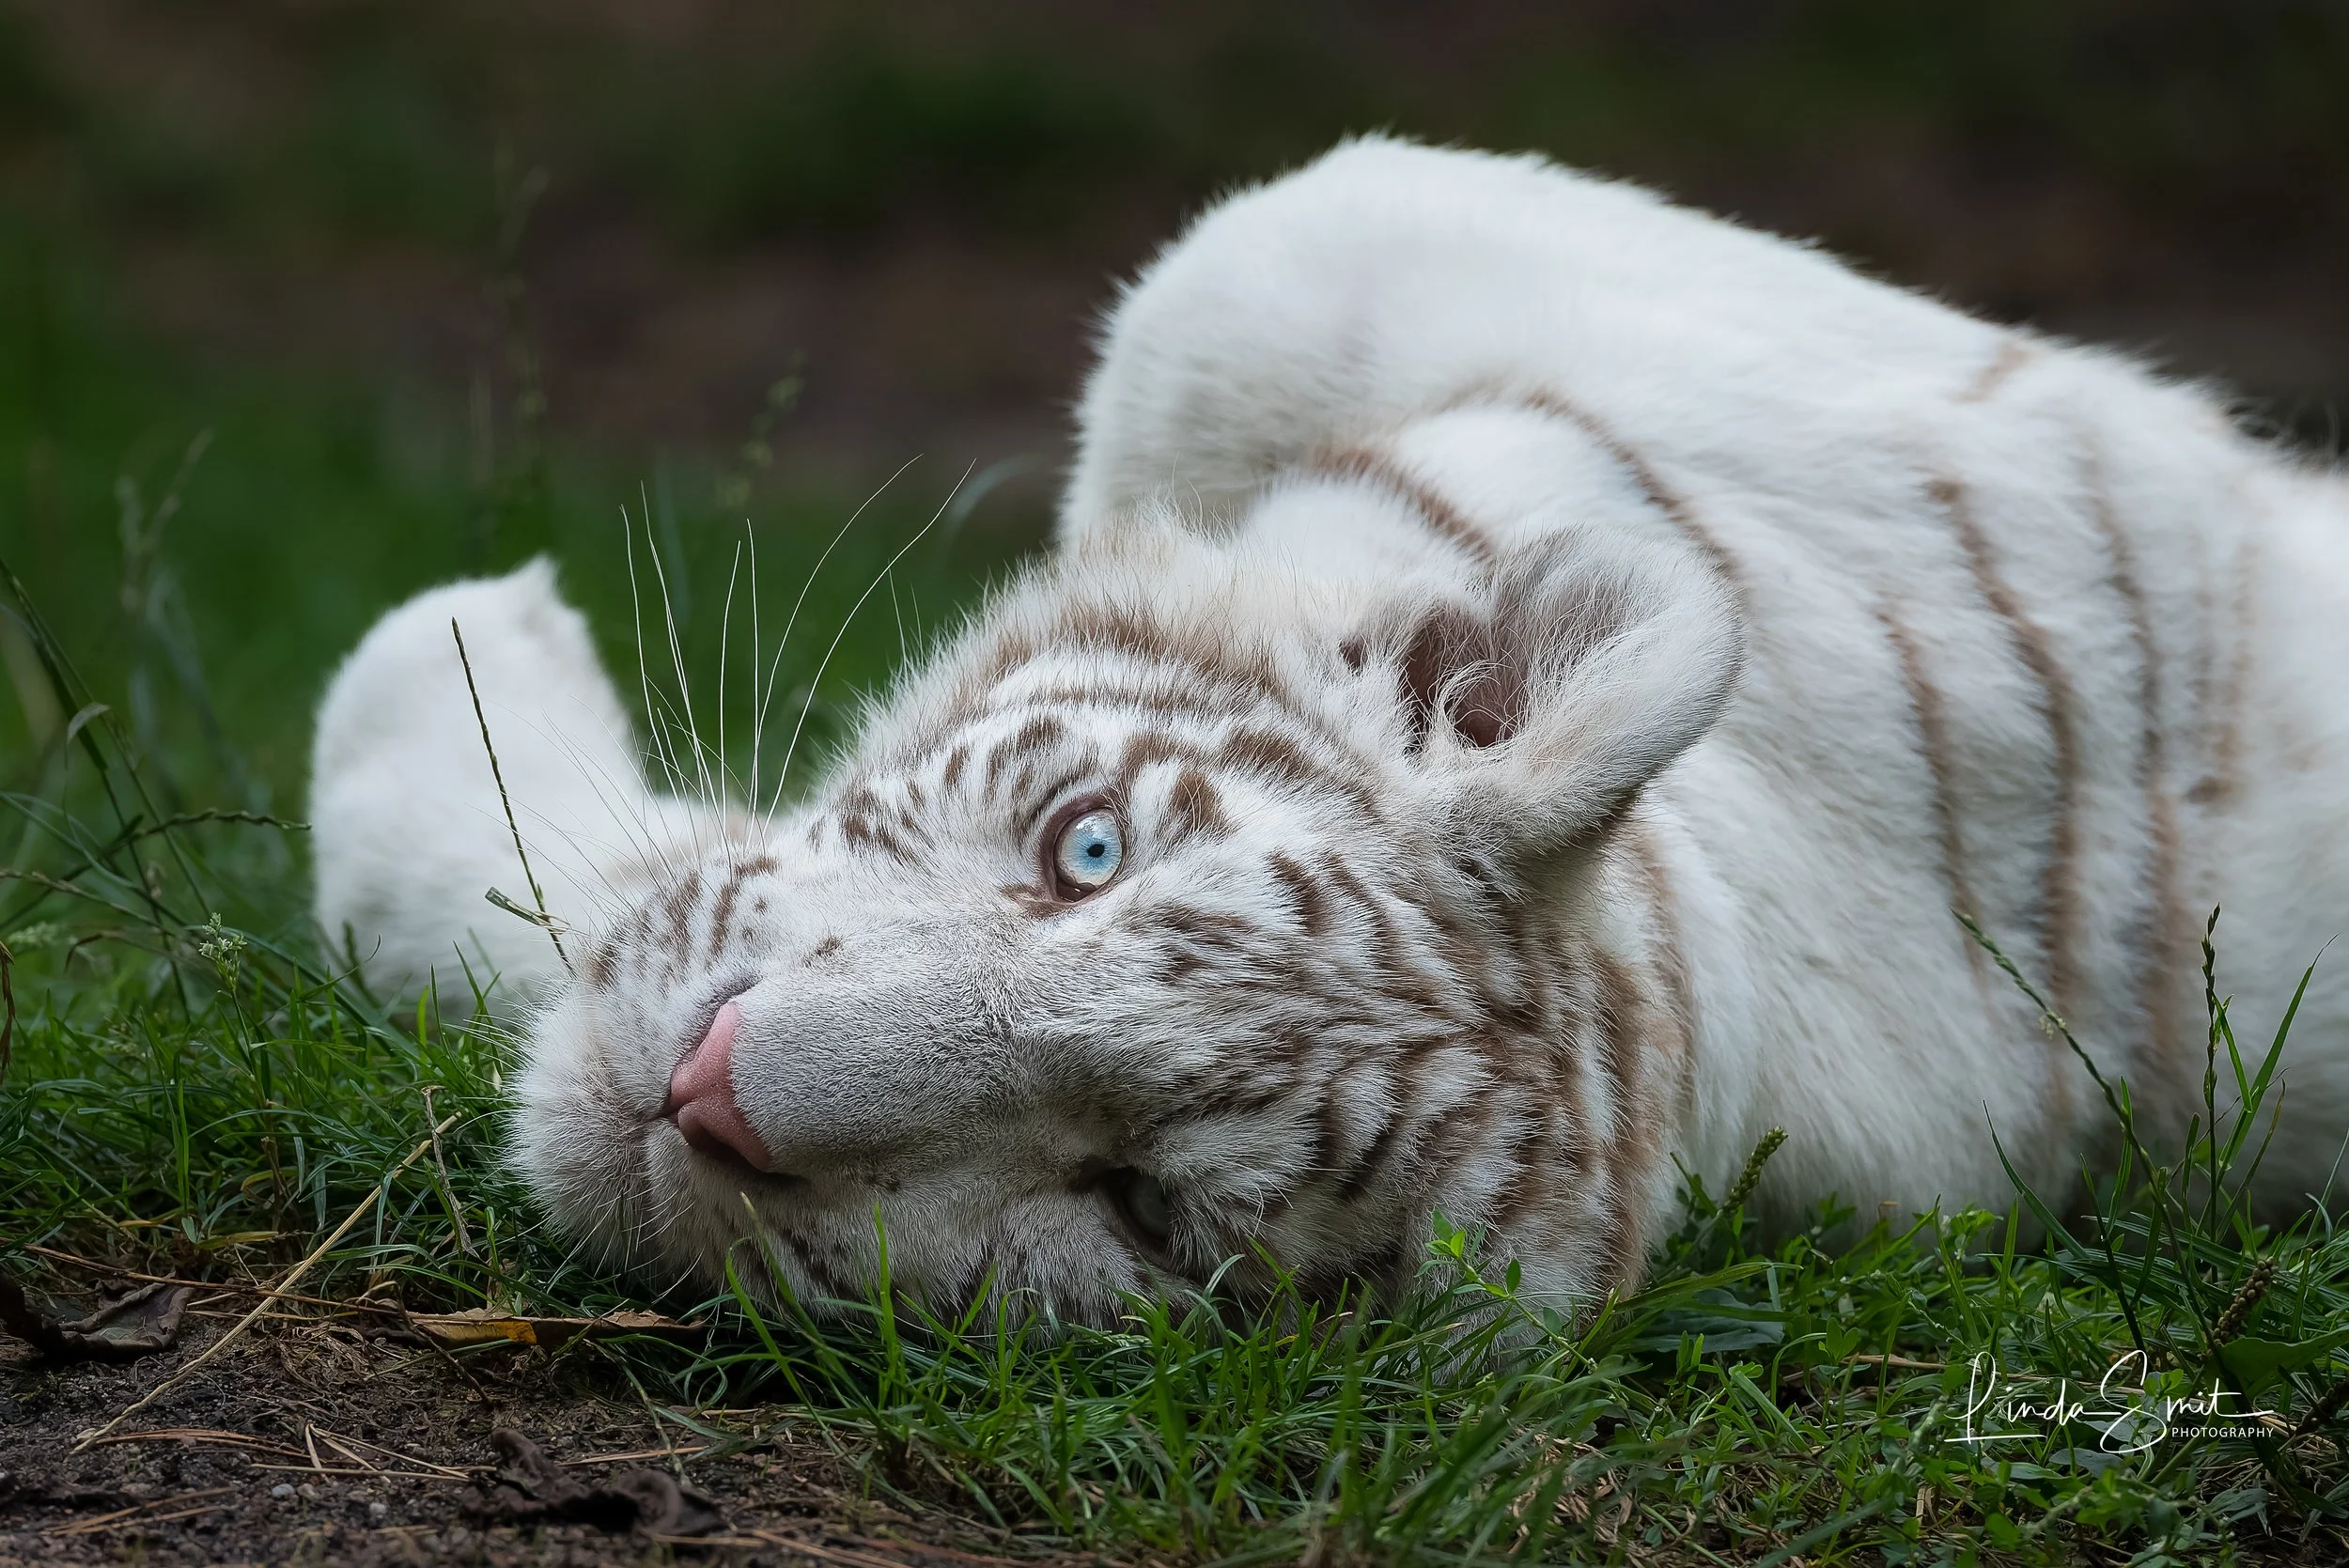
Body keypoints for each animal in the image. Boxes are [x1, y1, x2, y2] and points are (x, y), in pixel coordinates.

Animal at [309, 137, 2349, 1323]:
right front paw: (469, 636)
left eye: (1141, 1212)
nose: (707, 1090)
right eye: (1087, 847)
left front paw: (445, 666)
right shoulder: (1306, 257)